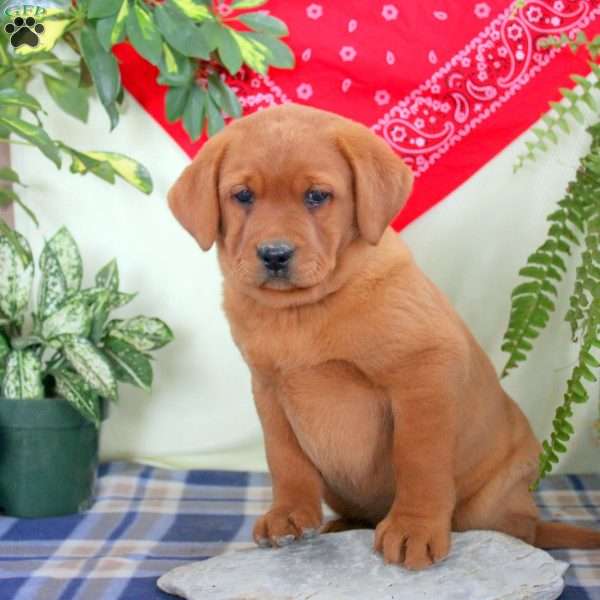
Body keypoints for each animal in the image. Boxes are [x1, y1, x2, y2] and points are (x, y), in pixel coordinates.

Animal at [168, 102, 600, 568]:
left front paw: (414, 528)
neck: (302, 313)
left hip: (493, 503)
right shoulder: (268, 389)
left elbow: (419, 460)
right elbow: (284, 458)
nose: (275, 254)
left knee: (514, 529)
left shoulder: (424, 373)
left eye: (316, 196)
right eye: (243, 196)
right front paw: (289, 513)